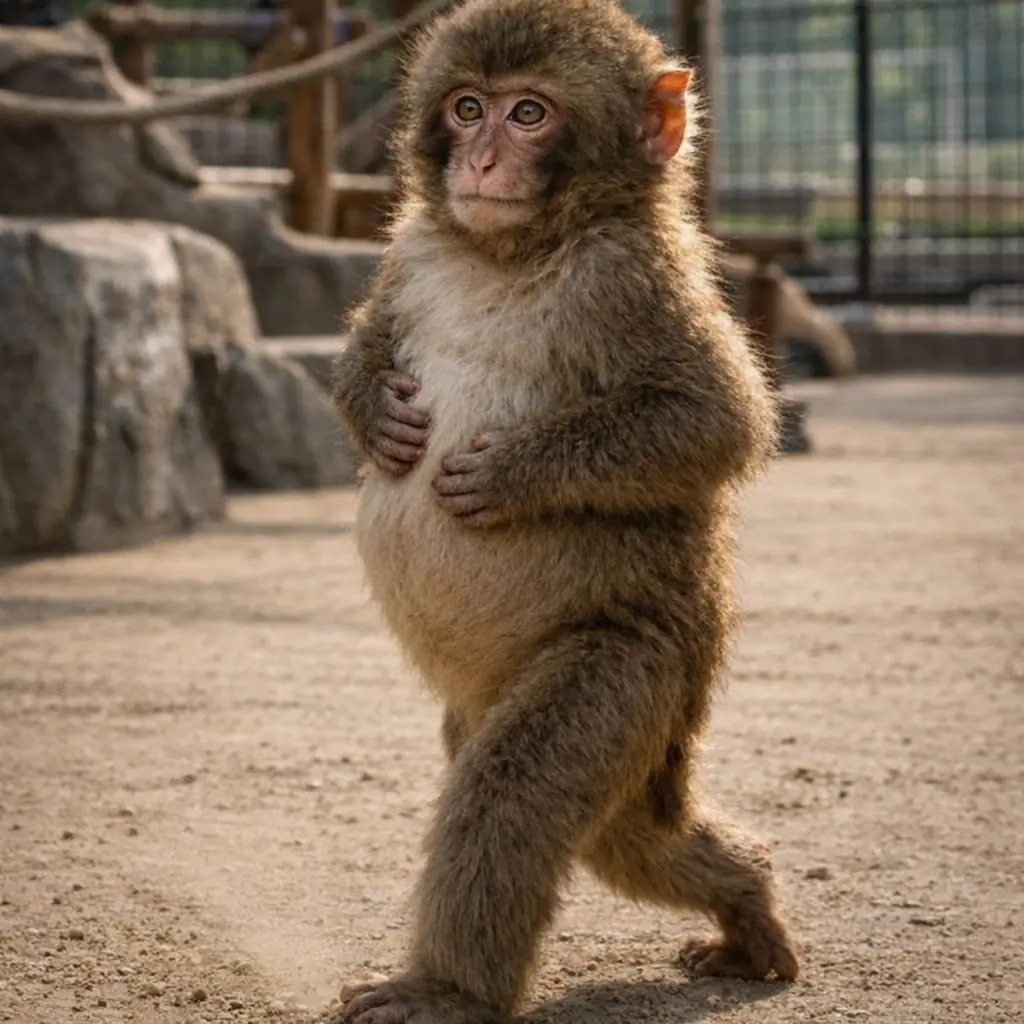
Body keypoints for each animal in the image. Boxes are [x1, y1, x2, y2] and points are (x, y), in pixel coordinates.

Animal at [329, 2, 799, 1022]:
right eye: (467, 107)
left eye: (530, 114)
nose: (479, 161)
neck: (510, 249)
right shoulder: (413, 247)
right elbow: (373, 334)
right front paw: (376, 408)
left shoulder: (630, 275)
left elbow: (715, 420)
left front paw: (511, 474)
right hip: (525, 711)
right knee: (624, 838)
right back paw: (747, 900)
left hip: (637, 672)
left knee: (521, 789)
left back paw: (449, 989)